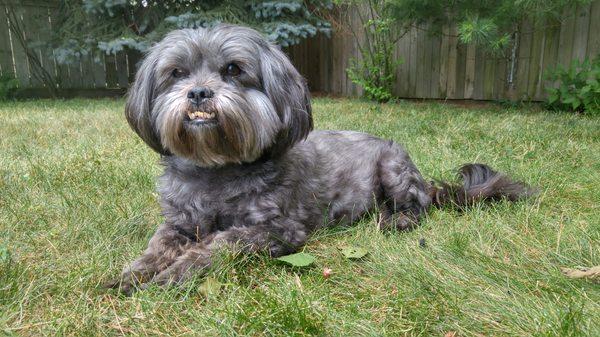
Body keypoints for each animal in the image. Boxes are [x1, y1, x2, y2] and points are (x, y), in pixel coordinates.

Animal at [111, 24, 536, 294]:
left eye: (233, 69)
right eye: (176, 73)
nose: (198, 92)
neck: (218, 168)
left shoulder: (278, 230)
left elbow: (218, 244)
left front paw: (175, 273)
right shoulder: (179, 222)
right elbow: (158, 245)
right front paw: (135, 273)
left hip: (393, 166)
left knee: (418, 207)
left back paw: (397, 219)